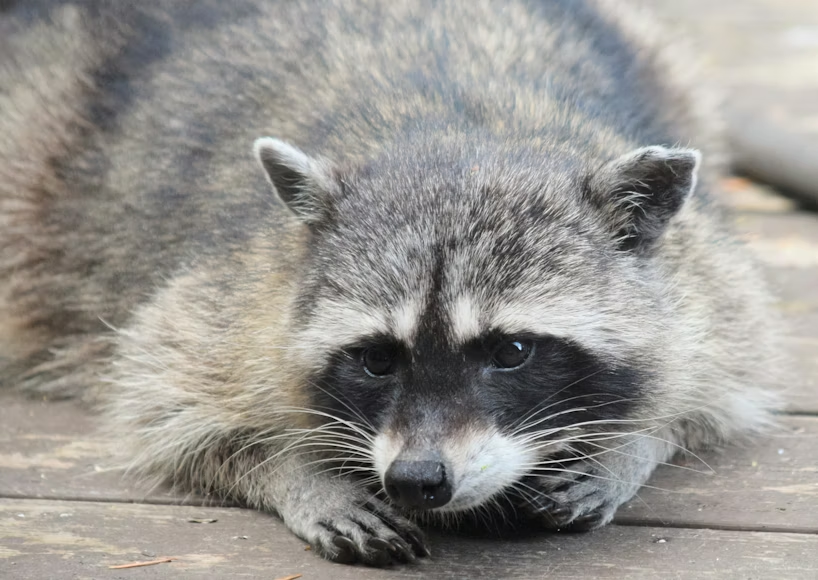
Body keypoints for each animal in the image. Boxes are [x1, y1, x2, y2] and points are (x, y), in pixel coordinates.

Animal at [0, 0, 782, 566]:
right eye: (376, 357)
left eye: (511, 353)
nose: (417, 479)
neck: (457, 136)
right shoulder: (234, 294)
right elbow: (161, 398)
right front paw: (292, 470)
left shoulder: (700, 270)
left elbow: (730, 360)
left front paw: (634, 443)